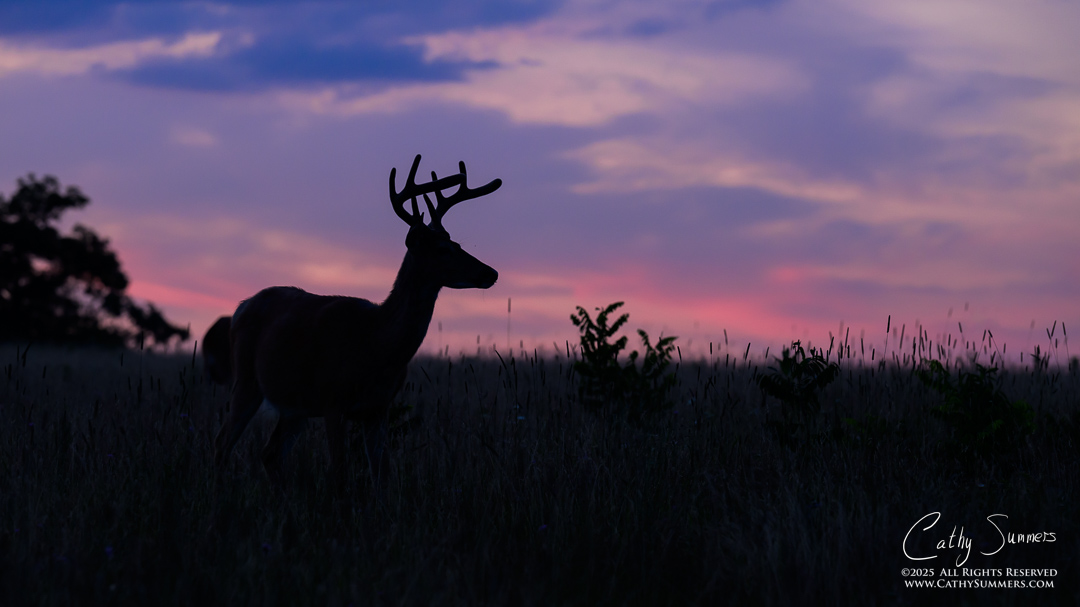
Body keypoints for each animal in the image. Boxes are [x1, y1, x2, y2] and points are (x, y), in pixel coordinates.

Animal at [203, 154, 501, 487]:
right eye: (443, 249)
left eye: (459, 243)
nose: (491, 273)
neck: (377, 344)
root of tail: (241, 307)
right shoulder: (334, 401)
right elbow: (340, 474)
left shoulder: (377, 408)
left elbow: (382, 474)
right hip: (246, 380)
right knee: (222, 443)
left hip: (294, 405)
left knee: (270, 453)